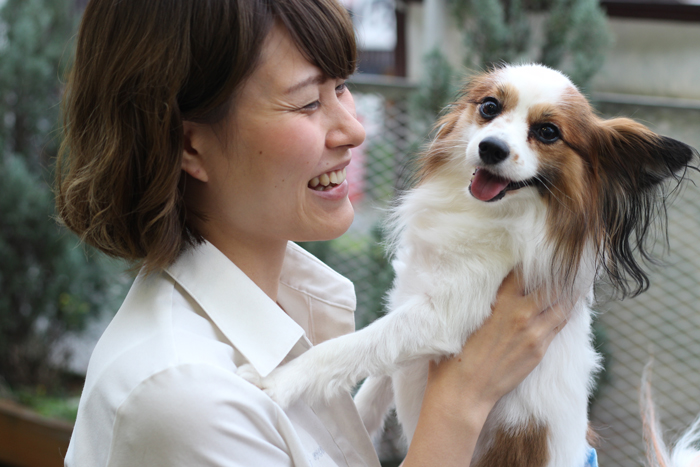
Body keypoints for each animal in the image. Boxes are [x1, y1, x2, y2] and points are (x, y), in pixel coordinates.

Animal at [238, 64, 696, 466]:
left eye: (548, 132)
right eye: (489, 107)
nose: (491, 147)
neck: (485, 215)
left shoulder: (442, 316)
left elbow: (356, 346)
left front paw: (275, 383)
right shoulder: (407, 298)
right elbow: (374, 384)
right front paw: (360, 425)